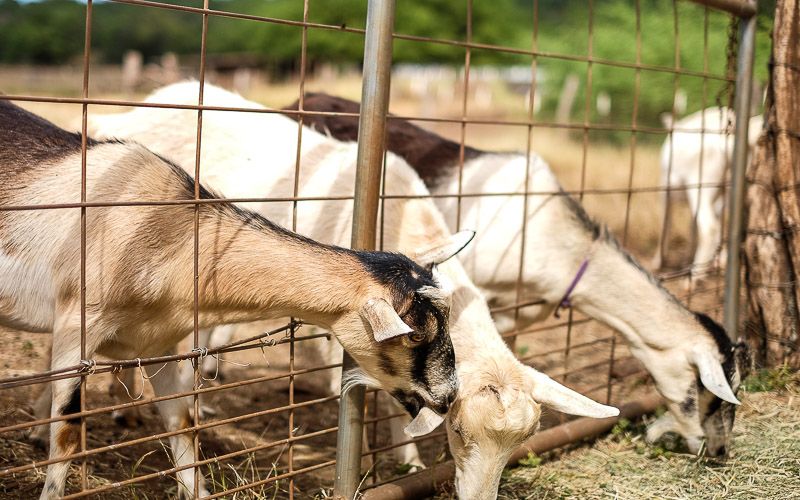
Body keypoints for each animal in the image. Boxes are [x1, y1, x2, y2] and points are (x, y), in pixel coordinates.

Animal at [0, 99, 466, 498]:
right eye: (414, 335)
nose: (448, 397)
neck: (166, 235)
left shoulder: (158, 343)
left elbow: (182, 424)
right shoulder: (77, 326)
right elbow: (67, 432)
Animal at [656, 104, 764, 270]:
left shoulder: (665, 189)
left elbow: (665, 222)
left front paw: (657, 262)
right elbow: (692, 226)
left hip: (700, 186)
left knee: (709, 228)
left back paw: (696, 273)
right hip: (734, 187)